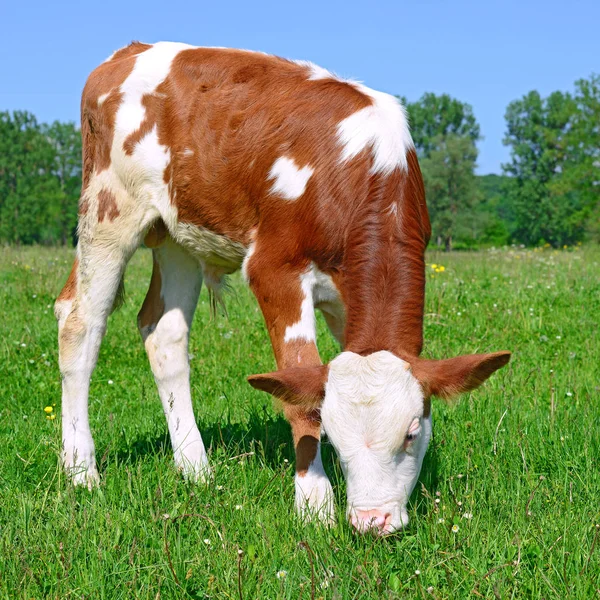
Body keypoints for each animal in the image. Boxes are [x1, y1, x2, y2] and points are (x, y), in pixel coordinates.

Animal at [55, 42, 510, 536]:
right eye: (333, 436)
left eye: (411, 433)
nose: (372, 520)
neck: (362, 170)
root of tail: (131, 50)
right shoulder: (275, 269)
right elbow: (300, 390)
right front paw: (314, 503)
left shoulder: (352, 303)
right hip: (108, 208)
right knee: (79, 322)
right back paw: (81, 469)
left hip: (178, 234)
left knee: (163, 332)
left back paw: (195, 467)